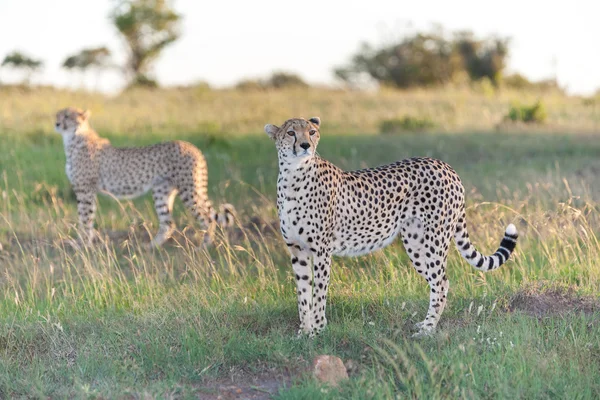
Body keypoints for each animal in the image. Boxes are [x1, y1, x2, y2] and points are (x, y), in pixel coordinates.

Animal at [54, 107, 234, 247]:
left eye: (67, 116)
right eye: (57, 115)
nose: (56, 123)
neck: (74, 137)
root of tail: (192, 146)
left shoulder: (85, 190)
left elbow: (85, 218)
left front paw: (82, 244)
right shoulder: (85, 190)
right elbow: (87, 219)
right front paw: (84, 243)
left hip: (189, 190)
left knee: (207, 219)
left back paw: (204, 247)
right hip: (162, 191)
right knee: (168, 223)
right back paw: (151, 247)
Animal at [264, 117, 516, 336]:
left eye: (312, 131)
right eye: (291, 133)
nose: (305, 145)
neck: (293, 175)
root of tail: (445, 165)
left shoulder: (322, 251)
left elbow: (318, 294)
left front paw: (317, 330)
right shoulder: (297, 250)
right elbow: (303, 294)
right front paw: (303, 332)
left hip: (434, 241)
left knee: (442, 282)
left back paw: (428, 330)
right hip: (415, 244)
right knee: (437, 282)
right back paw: (425, 323)